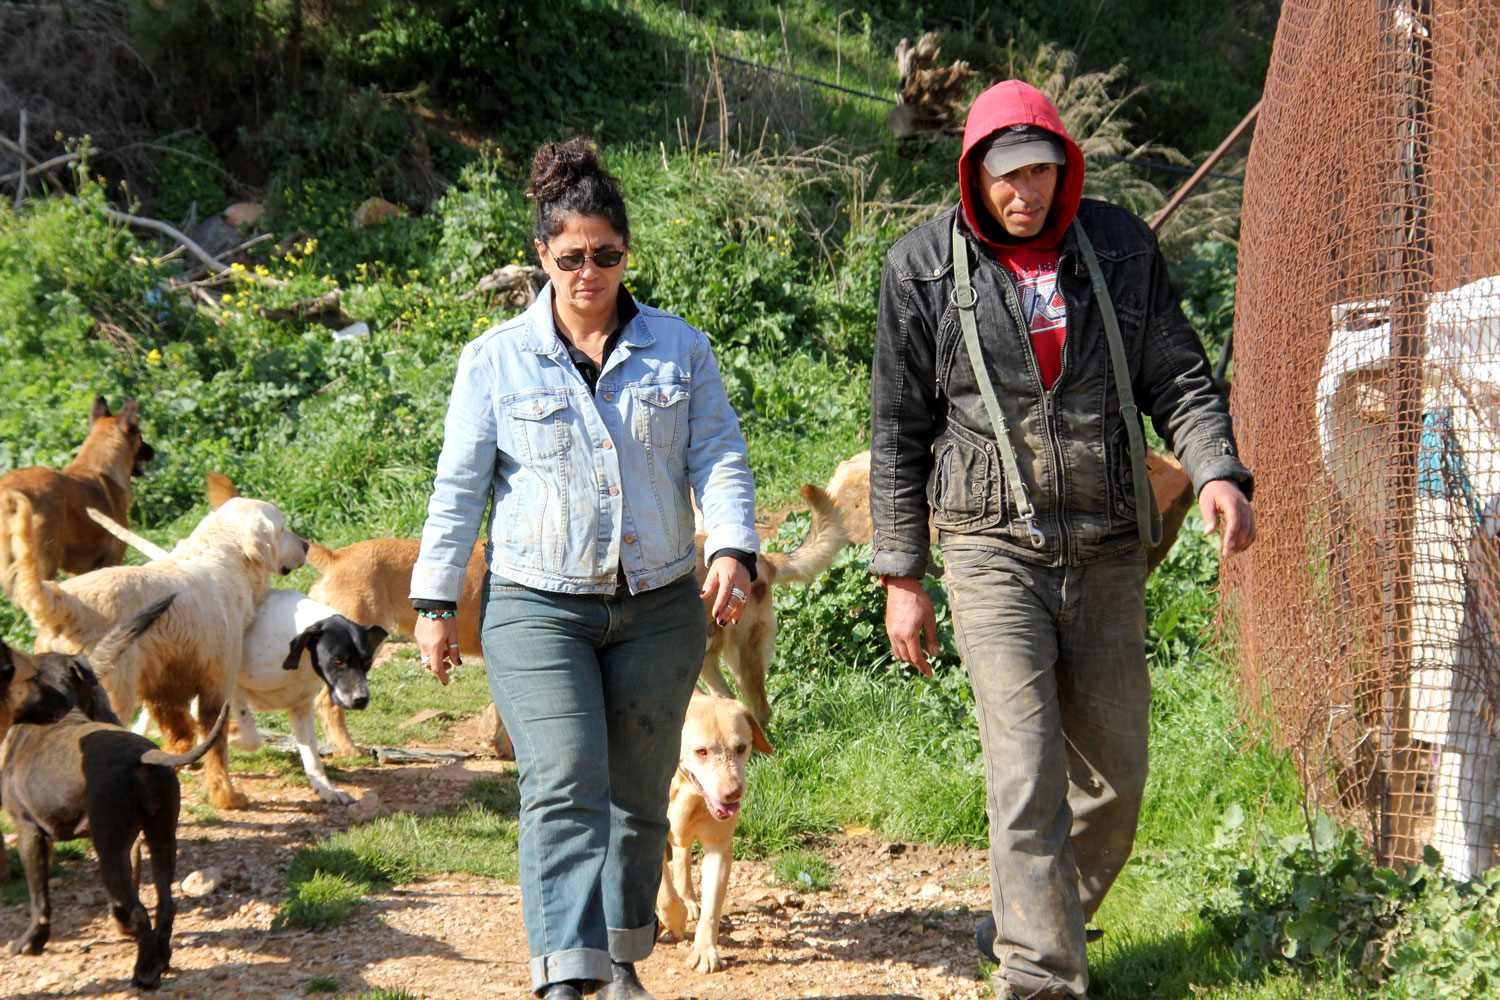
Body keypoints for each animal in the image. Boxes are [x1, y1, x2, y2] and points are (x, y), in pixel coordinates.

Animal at [0, 392, 153, 593]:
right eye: (140, 435)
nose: (153, 451)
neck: (97, 466)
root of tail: (11, 493)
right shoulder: (113, 559)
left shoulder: (79, 572)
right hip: (42, 565)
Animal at [2, 491, 307, 815]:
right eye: (282, 527)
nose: (307, 546)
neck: (224, 556)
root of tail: (66, 601)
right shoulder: (215, 688)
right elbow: (216, 748)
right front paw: (227, 796)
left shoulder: (164, 686)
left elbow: (182, 737)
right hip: (113, 698)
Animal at [657, 692, 774, 971]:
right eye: (701, 751)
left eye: (741, 748)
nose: (733, 793)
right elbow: (665, 895)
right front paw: (673, 921)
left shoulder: (719, 848)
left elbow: (712, 906)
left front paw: (705, 951)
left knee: (683, 855)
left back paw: (689, 899)